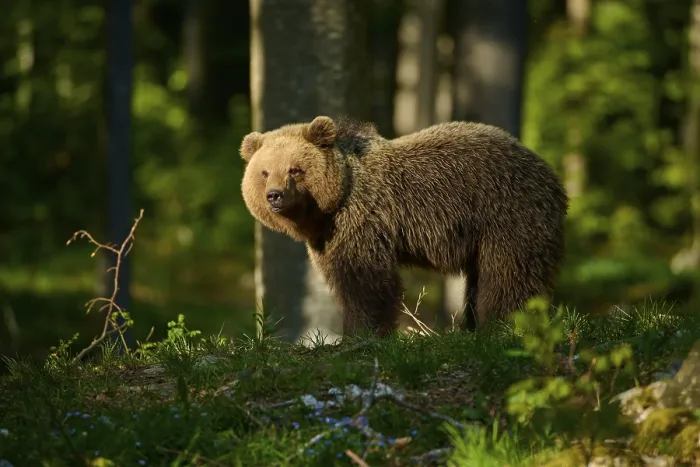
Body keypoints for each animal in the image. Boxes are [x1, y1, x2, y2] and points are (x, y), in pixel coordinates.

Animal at [240, 116, 568, 336]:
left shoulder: (362, 220)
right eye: (264, 172)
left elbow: (366, 282)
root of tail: (552, 175)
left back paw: (502, 325)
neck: (329, 208)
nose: (275, 195)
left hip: (508, 216)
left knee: (508, 276)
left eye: (295, 169)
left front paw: (362, 333)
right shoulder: (326, 239)